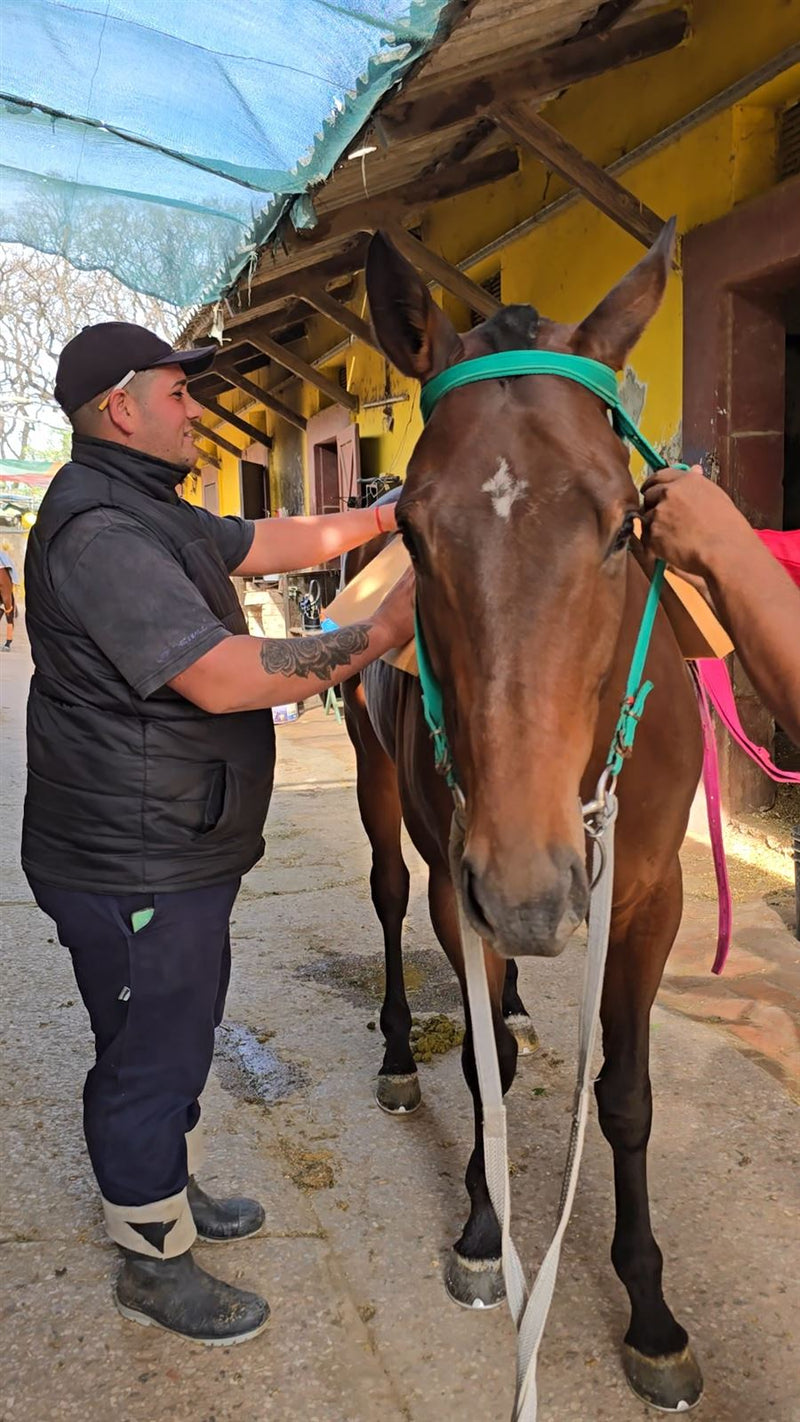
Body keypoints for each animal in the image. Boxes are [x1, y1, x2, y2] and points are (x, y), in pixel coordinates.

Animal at [341, 221, 704, 1411]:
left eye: (623, 523)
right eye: (413, 527)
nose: (528, 891)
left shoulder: (647, 901)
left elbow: (626, 1097)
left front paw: (650, 1314)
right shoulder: (462, 885)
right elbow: (483, 1076)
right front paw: (481, 1229)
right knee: (390, 902)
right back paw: (402, 1054)